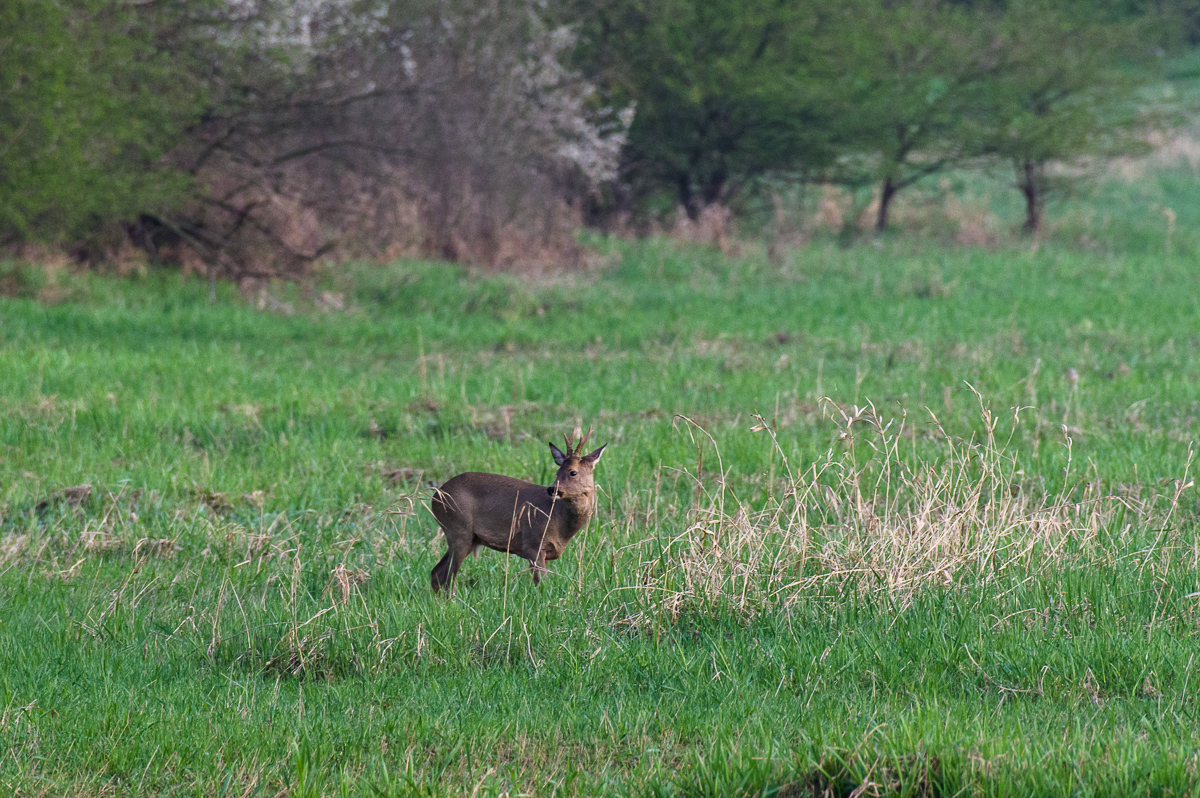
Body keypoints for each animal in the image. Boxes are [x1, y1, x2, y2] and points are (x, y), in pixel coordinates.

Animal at [429, 429, 604, 590]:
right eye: (557, 472)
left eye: (573, 472)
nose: (552, 489)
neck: (558, 520)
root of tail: (435, 497)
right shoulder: (533, 544)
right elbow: (542, 584)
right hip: (458, 529)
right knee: (447, 577)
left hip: (466, 537)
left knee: (436, 572)